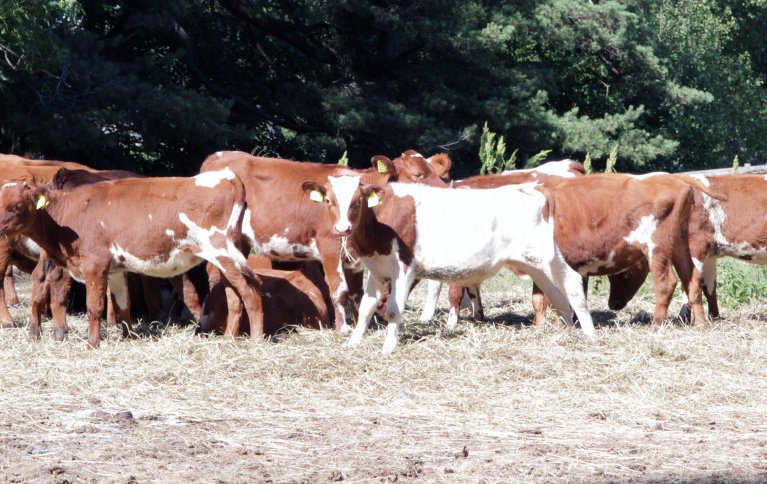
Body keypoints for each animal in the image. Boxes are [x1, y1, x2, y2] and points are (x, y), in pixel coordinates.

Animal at [0, 170, 264, 348]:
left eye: (19, 205)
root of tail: (228, 176)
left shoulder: (95, 264)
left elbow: (95, 306)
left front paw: (93, 343)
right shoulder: (115, 269)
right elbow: (122, 304)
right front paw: (129, 336)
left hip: (222, 252)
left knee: (251, 294)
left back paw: (257, 339)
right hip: (226, 260)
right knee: (234, 296)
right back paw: (229, 338)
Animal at [300, 159, 592, 352]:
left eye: (357, 200)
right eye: (329, 201)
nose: (342, 228)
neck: (380, 223)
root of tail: (534, 192)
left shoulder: (403, 267)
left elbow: (394, 309)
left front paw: (388, 347)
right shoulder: (377, 269)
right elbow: (366, 308)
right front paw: (353, 342)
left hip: (549, 257)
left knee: (572, 286)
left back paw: (589, 335)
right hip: (534, 265)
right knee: (555, 294)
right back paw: (566, 331)